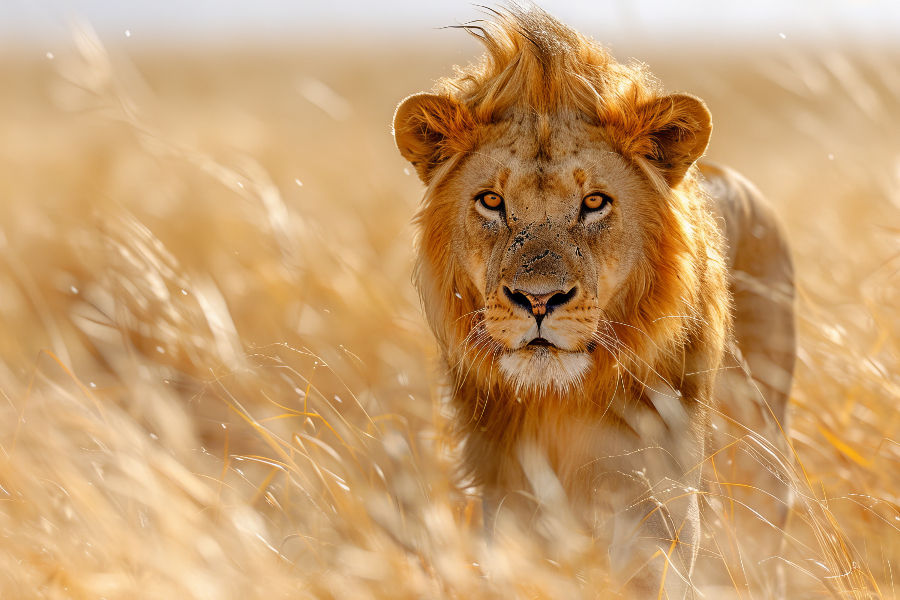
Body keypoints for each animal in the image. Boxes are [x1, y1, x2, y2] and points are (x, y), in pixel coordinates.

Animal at [393, 7, 795, 597]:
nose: (538, 300)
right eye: (491, 201)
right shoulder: (505, 498)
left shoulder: (659, 503)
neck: (559, 404)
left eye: (595, 202)